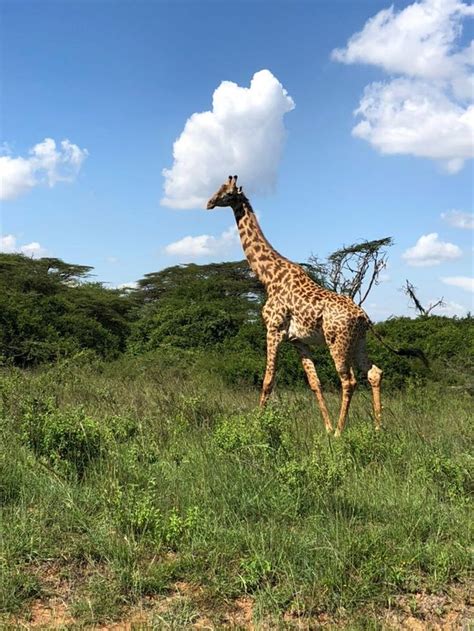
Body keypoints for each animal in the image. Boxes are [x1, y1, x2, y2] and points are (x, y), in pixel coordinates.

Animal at [206, 175, 386, 436]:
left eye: (227, 192)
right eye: (218, 188)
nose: (209, 203)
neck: (269, 277)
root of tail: (364, 317)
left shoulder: (273, 330)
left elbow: (267, 380)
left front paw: (258, 425)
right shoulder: (298, 341)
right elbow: (314, 383)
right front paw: (326, 428)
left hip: (337, 341)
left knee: (348, 380)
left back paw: (342, 431)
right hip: (358, 341)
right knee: (373, 373)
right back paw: (378, 427)